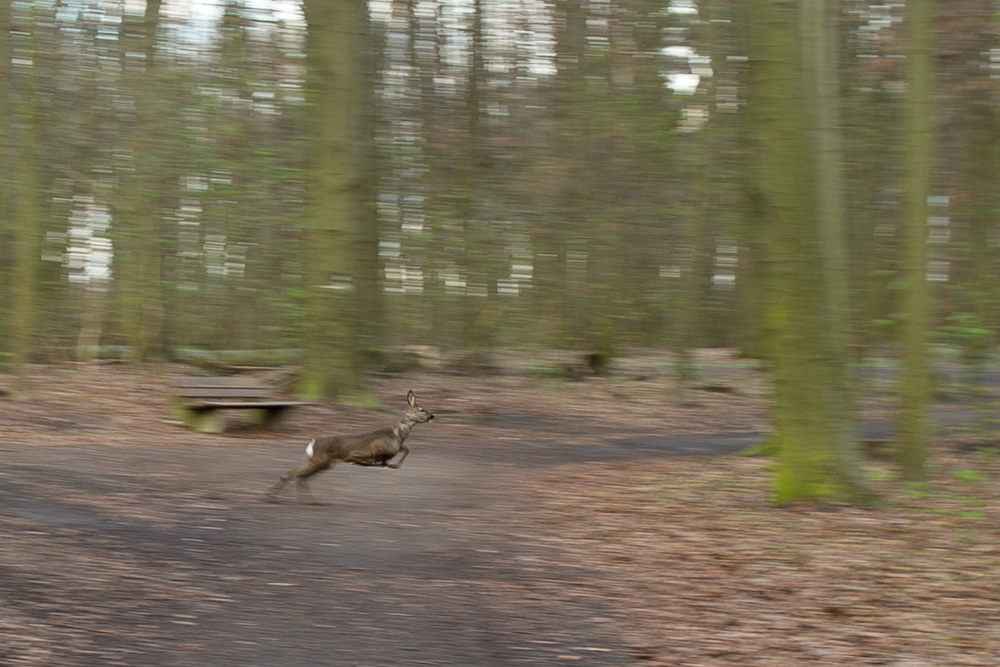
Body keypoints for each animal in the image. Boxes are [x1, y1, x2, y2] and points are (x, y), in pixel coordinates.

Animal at [264, 390, 434, 504]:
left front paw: (393, 465)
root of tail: (312, 443)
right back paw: (271, 497)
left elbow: (406, 448)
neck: (397, 434)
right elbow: (399, 451)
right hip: (319, 461)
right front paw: (392, 465)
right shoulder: (378, 451)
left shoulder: (394, 448)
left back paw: (310, 501)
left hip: (321, 463)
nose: (432, 416)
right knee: (293, 474)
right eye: (421, 409)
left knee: (300, 478)